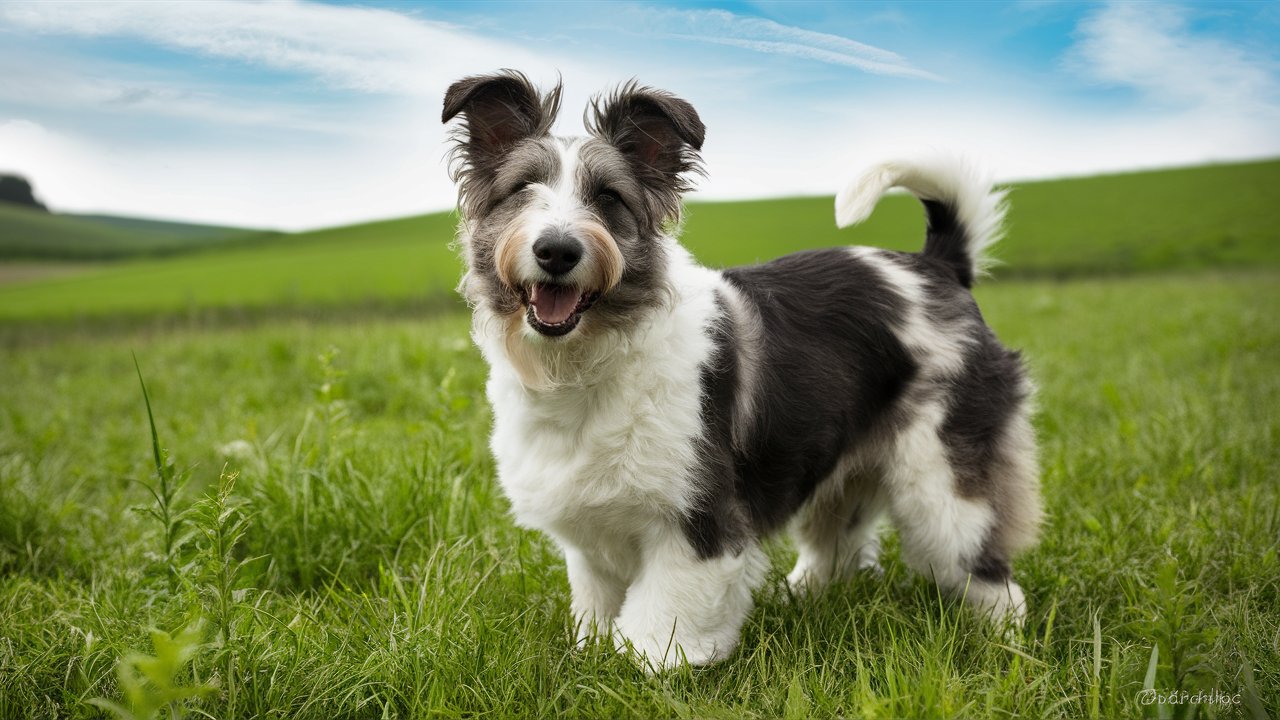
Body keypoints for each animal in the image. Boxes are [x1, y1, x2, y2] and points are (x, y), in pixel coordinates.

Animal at [440, 68, 1039, 666]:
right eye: (522, 189)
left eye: (608, 196)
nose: (557, 250)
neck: (586, 364)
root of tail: (938, 266)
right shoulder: (593, 534)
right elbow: (595, 608)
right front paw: (589, 656)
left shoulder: (699, 522)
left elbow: (659, 629)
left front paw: (645, 669)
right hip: (845, 469)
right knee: (838, 547)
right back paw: (801, 598)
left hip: (945, 484)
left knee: (993, 580)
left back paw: (1003, 651)